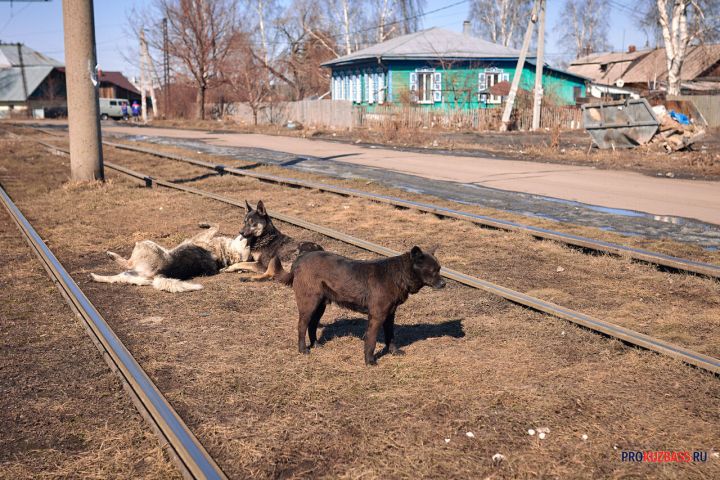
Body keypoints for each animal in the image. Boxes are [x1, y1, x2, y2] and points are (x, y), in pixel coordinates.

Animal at [90, 224, 250, 292]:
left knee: (128, 263)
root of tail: (158, 275)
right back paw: (95, 277)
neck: (223, 253)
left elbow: (216, 226)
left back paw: (111, 255)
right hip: (127, 276)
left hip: (146, 245)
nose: (244, 233)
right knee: (114, 278)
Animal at [272, 248, 448, 364]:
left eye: (440, 269)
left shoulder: (389, 315)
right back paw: (303, 349)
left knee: (312, 325)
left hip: (320, 305)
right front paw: (369, 361)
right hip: (309, 303)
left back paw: (316, 344)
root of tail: (299, 259)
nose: (444, 284)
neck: (398, 275)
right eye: (433, 270)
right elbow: (371, 340)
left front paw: (393, 352)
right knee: (302, 325)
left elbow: (390, 336)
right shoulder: (377, 316)